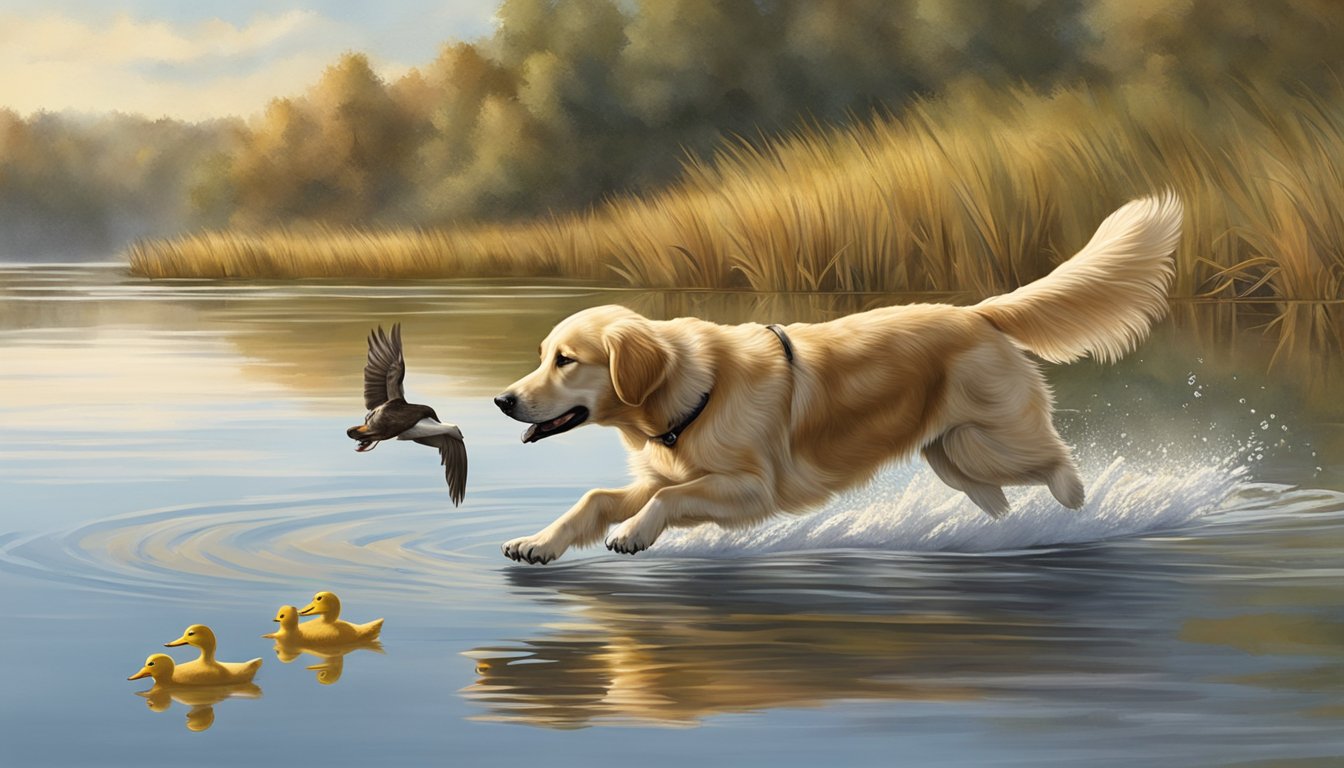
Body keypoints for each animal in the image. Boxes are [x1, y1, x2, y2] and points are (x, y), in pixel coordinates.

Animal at [494, 195, 1177, 562]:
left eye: (566, 360)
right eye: (542, 354)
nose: (502, 400)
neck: (690, 394)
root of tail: (979, 311)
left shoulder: (751, 489)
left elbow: (664, 501)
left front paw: (633, 535)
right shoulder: (671, 474)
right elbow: (597, 499)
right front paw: (538, 542)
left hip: (994, 442)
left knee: (1058, 462)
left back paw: (1084, 508)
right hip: (953, 456)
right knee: (1000, 500)